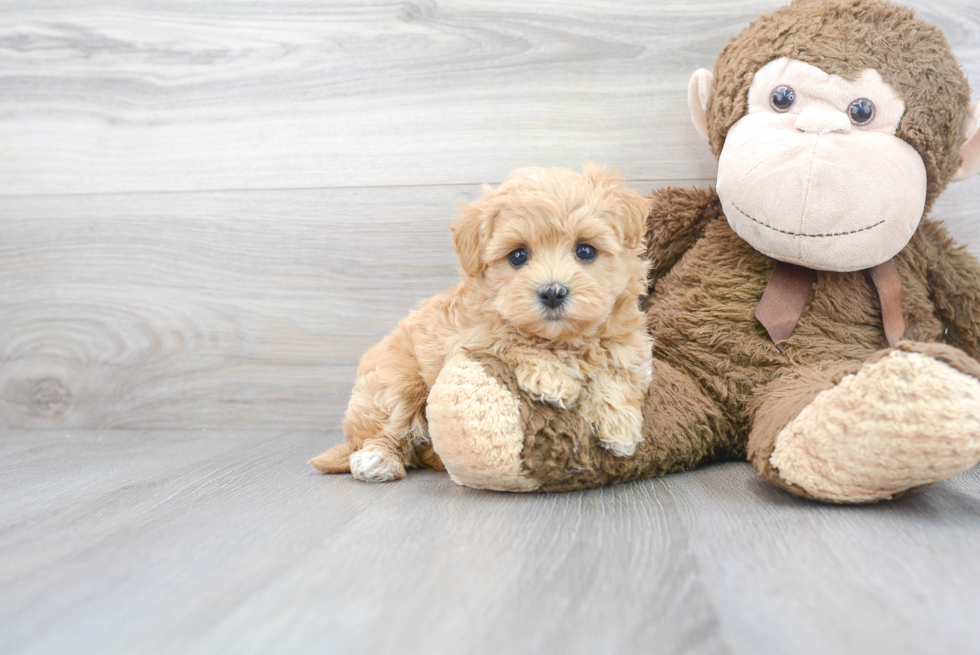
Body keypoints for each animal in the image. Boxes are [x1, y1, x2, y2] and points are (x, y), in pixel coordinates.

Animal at [310, 164, 656, 482]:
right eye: (518, 256)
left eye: (585, 250)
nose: (552, 292)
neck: (561, 339)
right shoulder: (470, 338)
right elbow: (512, 341)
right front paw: (552, 378)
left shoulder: (629, 347)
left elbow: (617, 373)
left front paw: (620, 427)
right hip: (396, 384)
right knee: (385, 429)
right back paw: (376, 459)